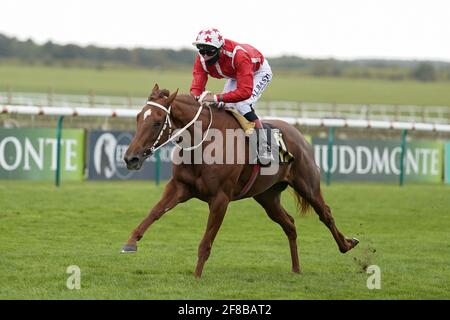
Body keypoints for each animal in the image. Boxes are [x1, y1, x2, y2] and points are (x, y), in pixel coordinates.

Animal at [123, 85, 358, 278]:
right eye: (138, 118)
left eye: (157, 122)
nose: (130, 158)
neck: (205, 143)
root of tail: (297, 134)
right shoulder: (180, 187)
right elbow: (154, 212)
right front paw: (130, 242)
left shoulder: (220, 198)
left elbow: (206, 242)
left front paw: (196, 276)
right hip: (267, 196)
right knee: (290, 224)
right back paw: (296, 268)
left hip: (307, 185)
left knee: (325, 214)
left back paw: (347, 244)